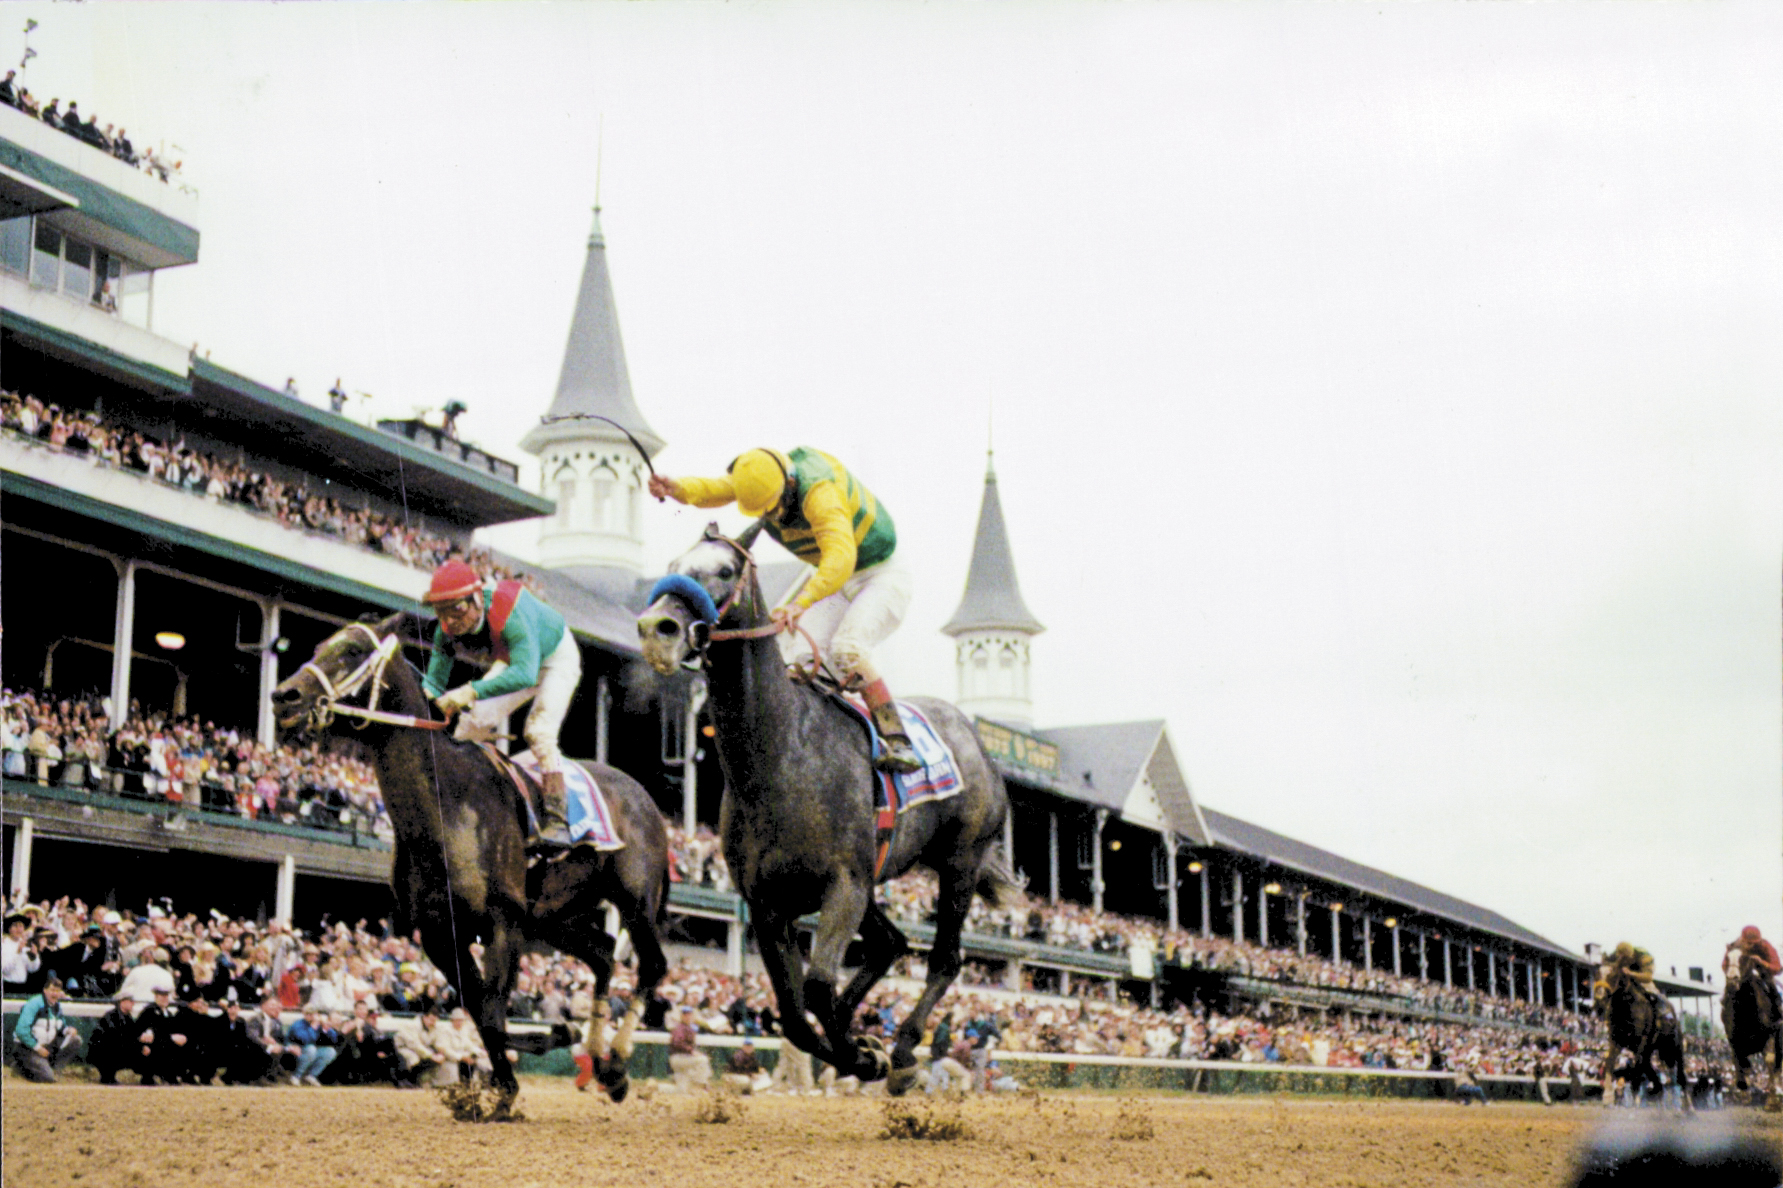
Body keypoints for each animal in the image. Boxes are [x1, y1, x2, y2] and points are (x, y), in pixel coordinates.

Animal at [271, 610, 670, 1113]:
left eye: (353, 651)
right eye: (321, 646)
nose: (284, 696)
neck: (446, 808)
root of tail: (648, 802)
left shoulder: (504, 922)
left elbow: (493, 1013)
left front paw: (540, 1052)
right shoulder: (439, 932)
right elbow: (480, 1011)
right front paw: (512, 1081)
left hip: (634, 899)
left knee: (651, 965)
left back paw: (615, 1064)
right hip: (553, 915)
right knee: (601, 953)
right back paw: (599, 1059)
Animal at [638, 524, 1027, 1098]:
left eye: (725, 571)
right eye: (671, 564)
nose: (656, 629)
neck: (779, 755)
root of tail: (975, 737)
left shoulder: (843, 883)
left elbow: (818, 988)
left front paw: (868, 1056)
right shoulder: (766, 903)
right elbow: (795, 1016)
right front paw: (858, 1050)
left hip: (960, 861)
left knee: (943, 958)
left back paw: (902, 1051)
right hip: (877, 880)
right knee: (890, 943)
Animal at [1597, 963, 1690, 1113]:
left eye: (1612, 975)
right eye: (1598, 974)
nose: (1599, 996)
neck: (1626, 1006)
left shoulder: (1641, 1041)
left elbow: (1636, 1069)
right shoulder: (1617, 1041)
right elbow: (1610, 1062)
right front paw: (1607, 1098)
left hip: (1675, 1048)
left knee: (1680, 1075)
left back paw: (1689, 1109)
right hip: (1658, 1051)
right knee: (1656, 1078)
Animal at [1718, 941, 1775, 1098]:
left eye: (1744, 958)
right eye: (1727, 958)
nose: (1732, 980)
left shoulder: (1770, 1033)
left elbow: (1770, 1059)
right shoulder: (1734, 1040)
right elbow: (1740, 1063)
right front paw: (1743, 1089)